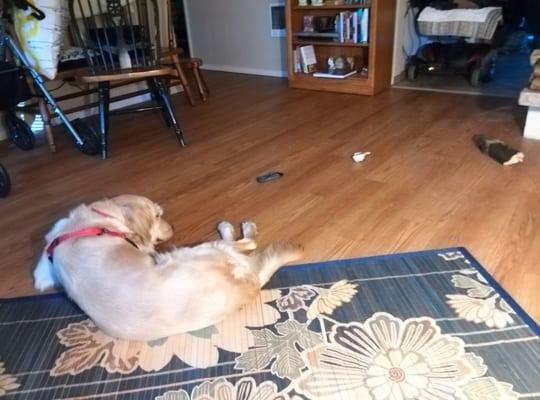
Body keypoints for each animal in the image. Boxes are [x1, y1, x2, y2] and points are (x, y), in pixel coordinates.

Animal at [32, 195, 304, 340]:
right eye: (157, 215)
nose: (172, 227)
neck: (94, 222)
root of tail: (249, 283)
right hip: (197, 251)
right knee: (246, 242)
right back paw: (236, 227)